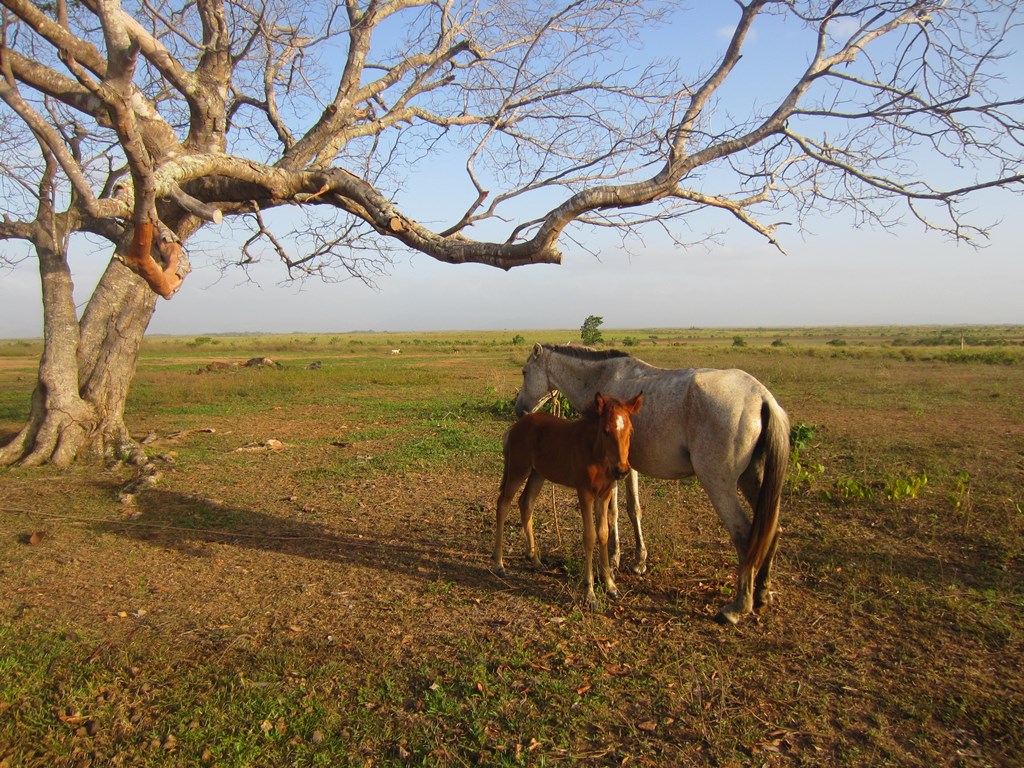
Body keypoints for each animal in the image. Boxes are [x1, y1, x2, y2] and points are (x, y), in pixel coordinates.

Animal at [512, 342, 790, 626]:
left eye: (525, 372)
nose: (520, 409)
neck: (601, 378)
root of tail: (762, 397)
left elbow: (613, 513)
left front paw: (613, 561)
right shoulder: (626, 467)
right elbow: (631, 510)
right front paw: (637, 561)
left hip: (719, 485)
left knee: (745, 535)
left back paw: (737, 606)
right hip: (752, 480)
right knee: (771, 529)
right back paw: (762, 594)